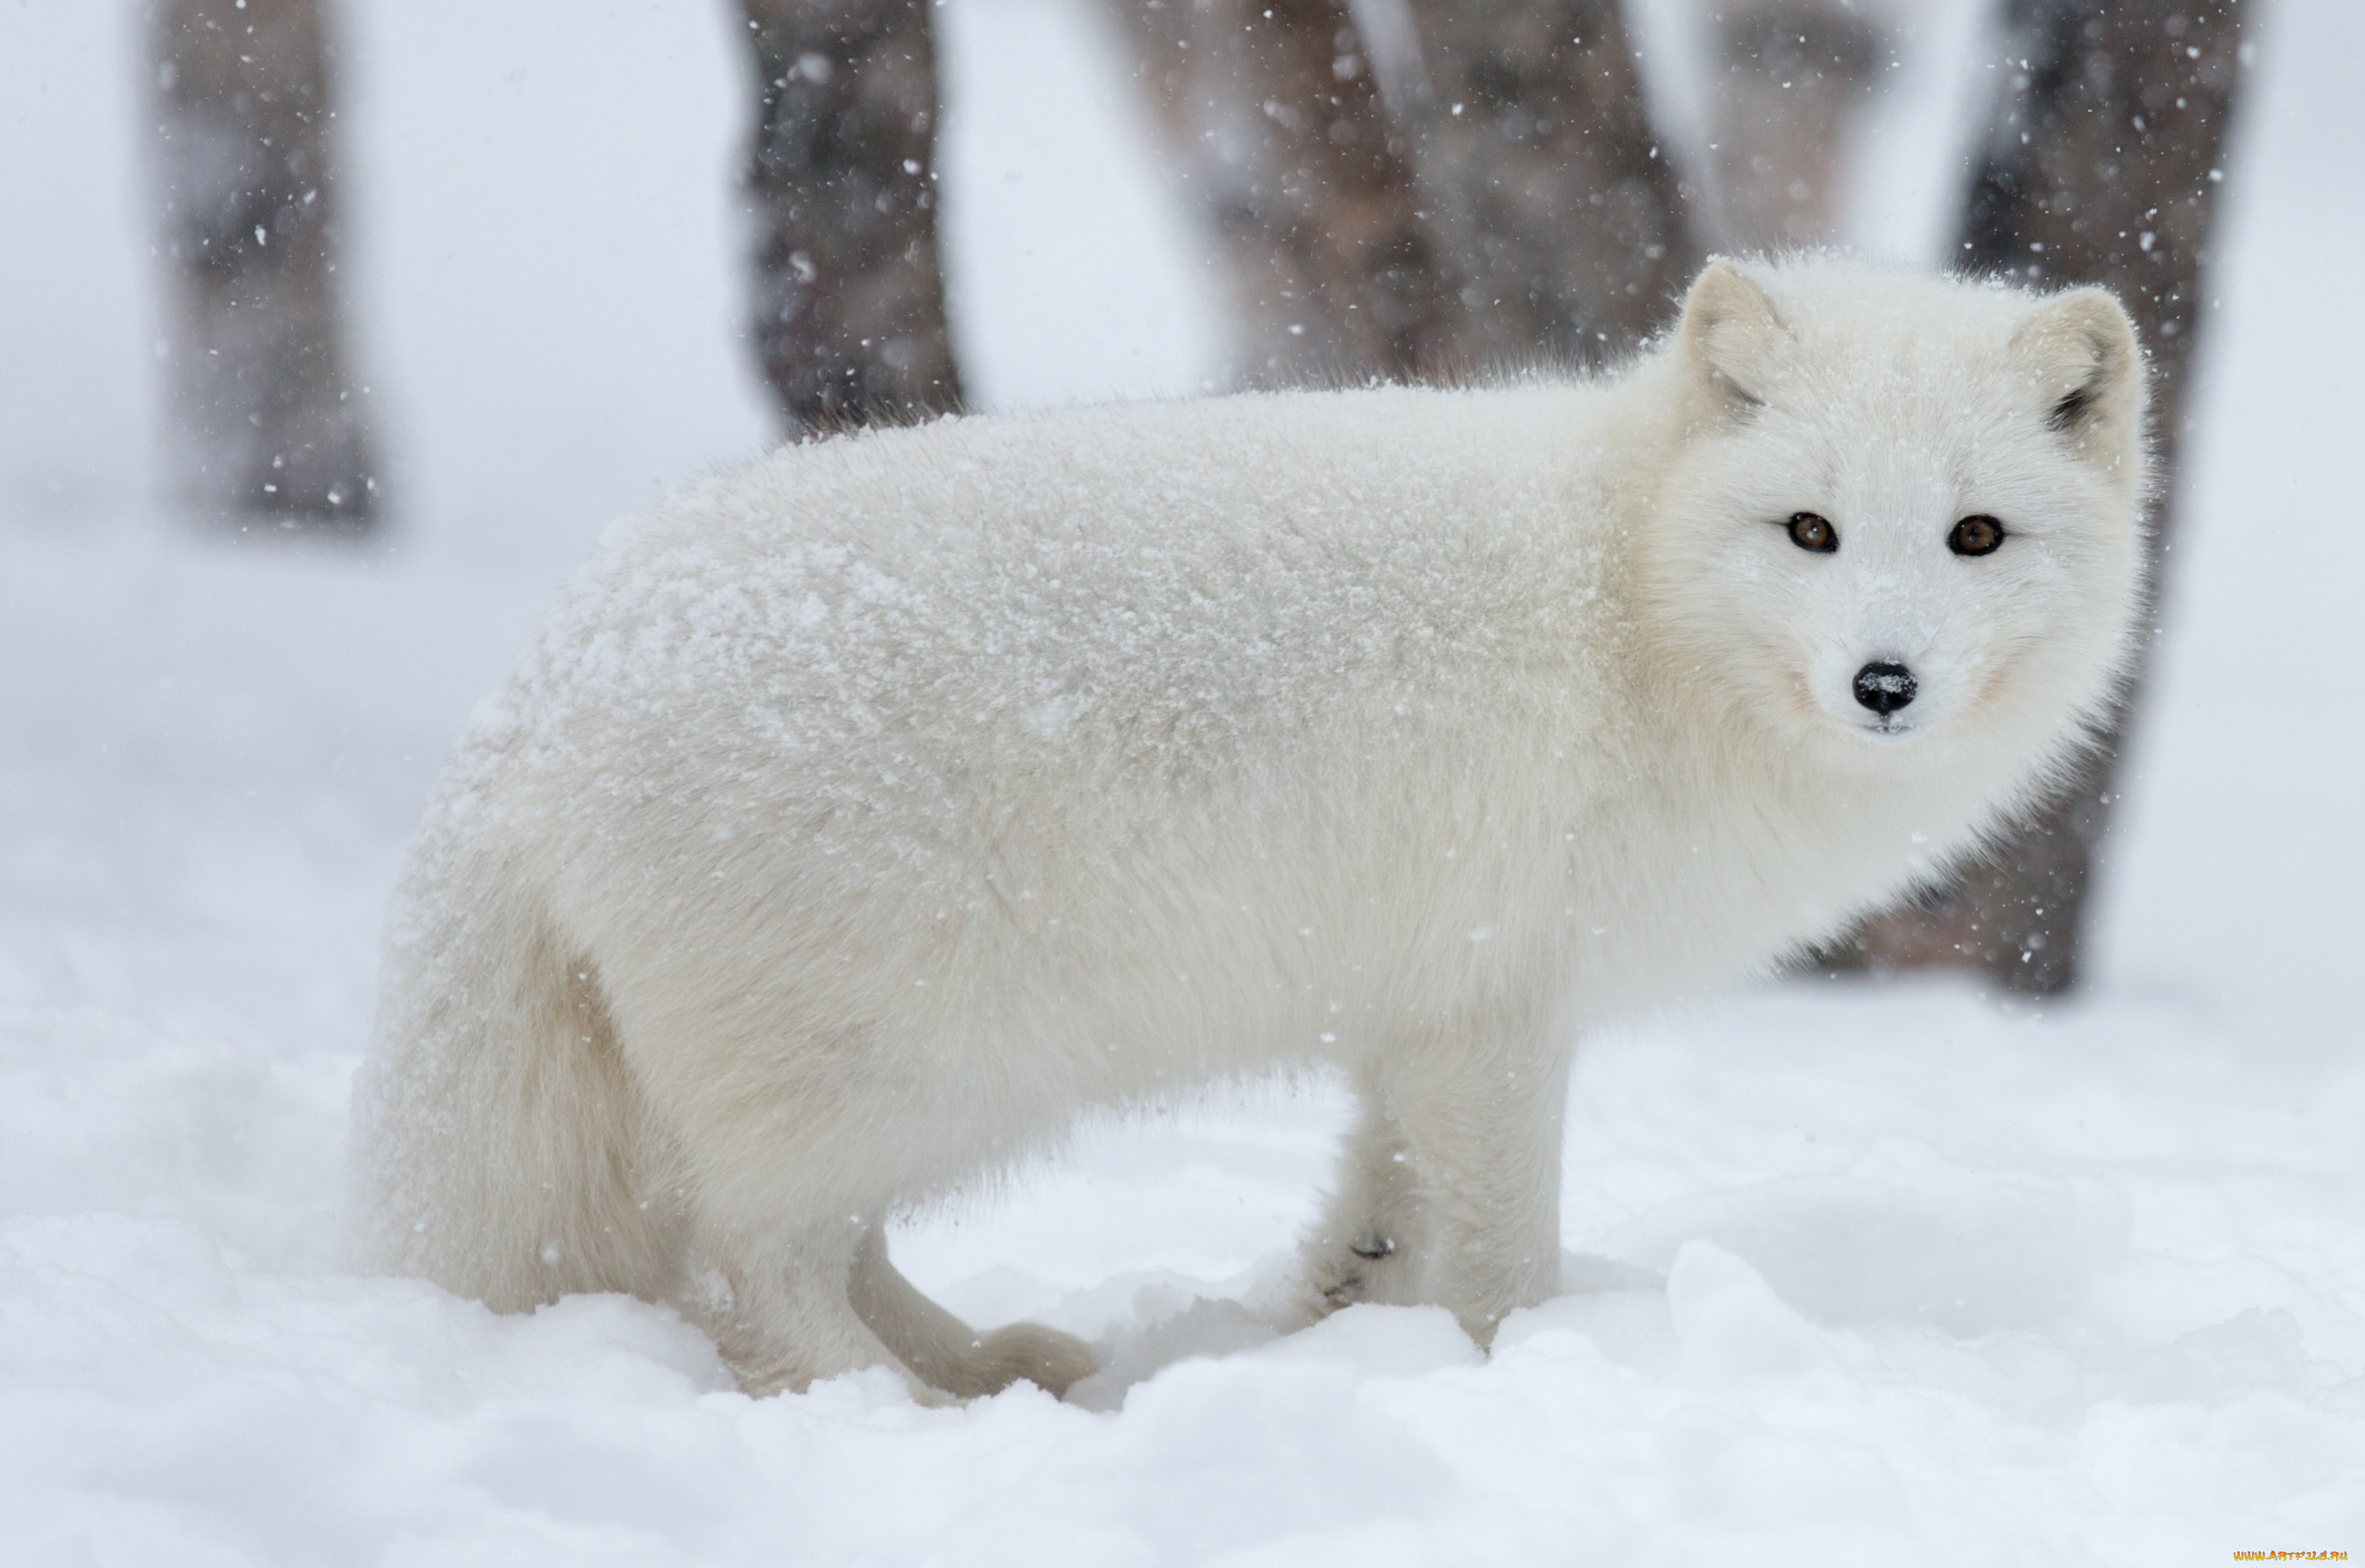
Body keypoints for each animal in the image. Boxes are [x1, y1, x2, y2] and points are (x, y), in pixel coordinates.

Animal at [345, 258, 2147, 1400]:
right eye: (1812, 531)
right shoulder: (1501, 1010)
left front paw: (1341, 1324)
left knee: (808, 1256)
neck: (1629, 589)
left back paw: (990, 1368)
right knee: (748, 1271)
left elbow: (1381, 1206)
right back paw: (903, 1415)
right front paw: (1513, 1371)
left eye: (1977, 535)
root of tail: (550, 688)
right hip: (911, 1062)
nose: (1886, 682)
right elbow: (1502, 1251)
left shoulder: (1418, 1013)